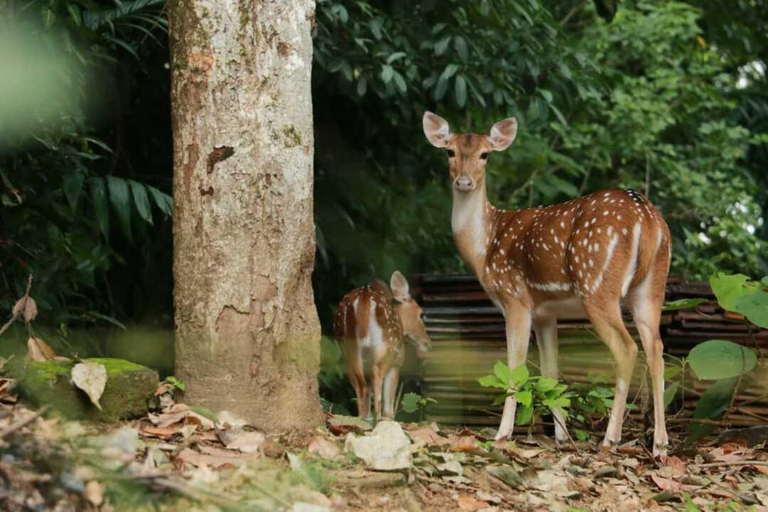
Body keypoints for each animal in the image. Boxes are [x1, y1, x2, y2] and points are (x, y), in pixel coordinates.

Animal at [334, 271, 432, 420]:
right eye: (421, 314)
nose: (428, 343)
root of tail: (364, 298)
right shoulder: (397, 362)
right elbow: (389, 400)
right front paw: (389, 418)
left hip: (347, 345)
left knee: (359, 381)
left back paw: (364, 418)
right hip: (387, 344)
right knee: (376, 372)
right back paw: (377, 417)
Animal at [422, 112, 671, 457]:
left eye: (485, 155)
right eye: (450, 151)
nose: (464, 182)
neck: (484, 246)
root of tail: (646, 218)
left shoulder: (514, 298)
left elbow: (515, 366)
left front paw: (502, 433)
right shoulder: (545, 313)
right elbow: (551, 370)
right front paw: (562, 436)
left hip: (597, 284)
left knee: (627, 348)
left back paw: (611, 438)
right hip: (652, 286)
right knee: (656, 349)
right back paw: (660, 444)